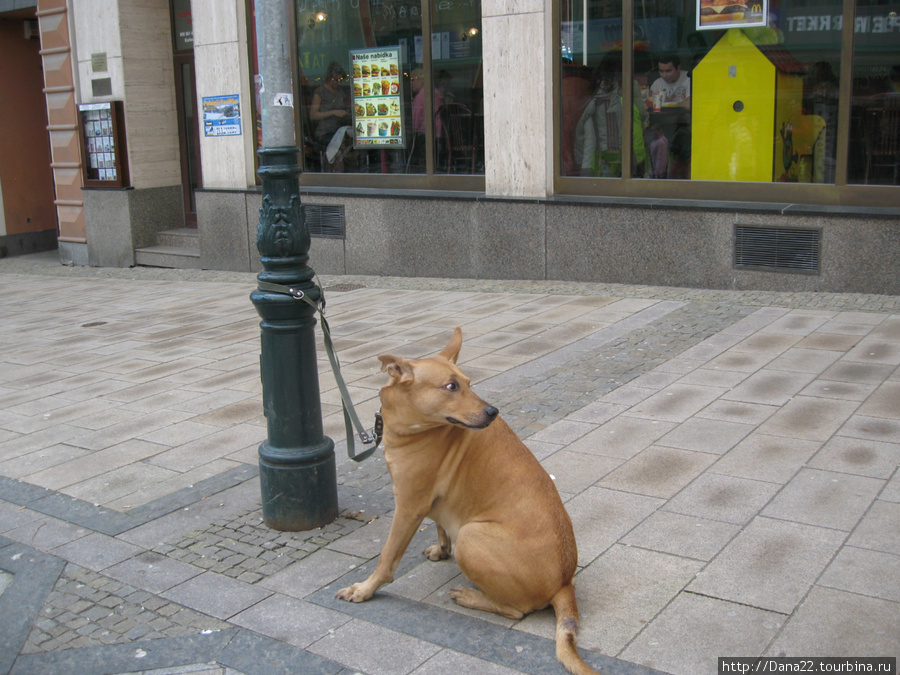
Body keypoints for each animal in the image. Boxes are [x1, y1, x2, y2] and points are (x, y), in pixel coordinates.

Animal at [336, 328, 596, 675]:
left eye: (468, 383)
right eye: (452, 386)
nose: (493, 412)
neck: (414, 426)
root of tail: (565, 583)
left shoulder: (408, 506)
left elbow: (387, 559)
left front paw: (365, 589)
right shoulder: (431, 503)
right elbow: (440, 526)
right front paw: (440, 549)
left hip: (472, 536)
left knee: (518, 610)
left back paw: (472, 597)